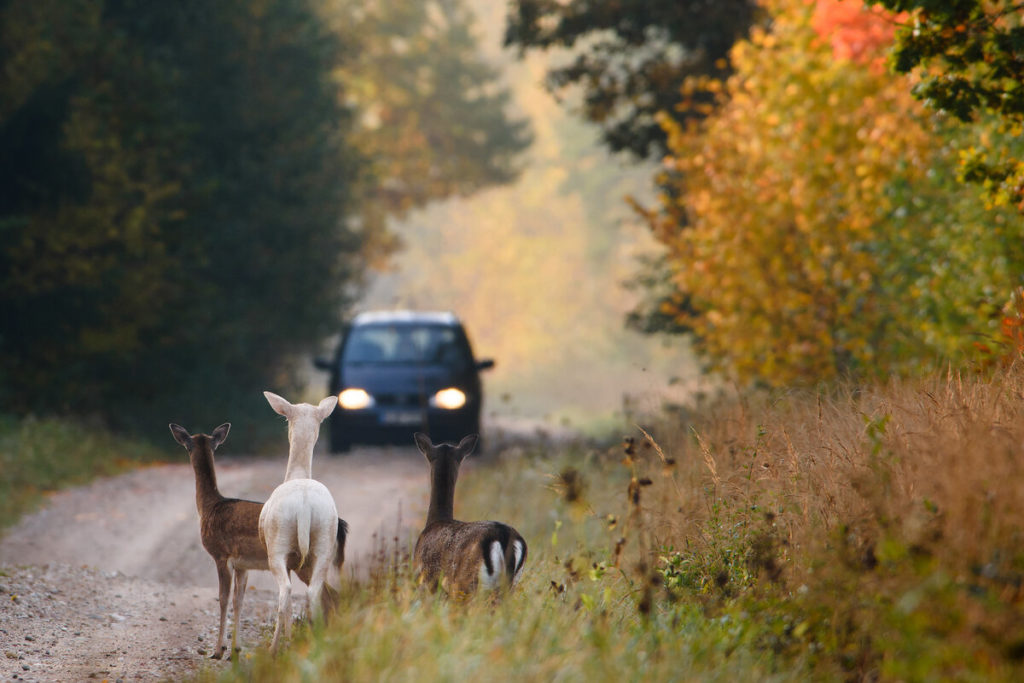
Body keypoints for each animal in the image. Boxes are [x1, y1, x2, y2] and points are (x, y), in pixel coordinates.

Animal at [165, 423, 346, 659]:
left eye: (187, 445)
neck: (210, 507)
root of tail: (340, 523)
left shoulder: (221, 555)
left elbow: (223, 598)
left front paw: (218, 650)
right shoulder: (243, 564)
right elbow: (239, 600)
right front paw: (235, 649)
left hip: (303, 562)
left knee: (327, 595)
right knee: (330, 594)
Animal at [260, 389, 344, 651]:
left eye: (286, 418)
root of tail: (305, 506)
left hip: (277, 544)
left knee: (285, 594)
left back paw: (276, 648)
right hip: (325, 541)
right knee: (315, 594)